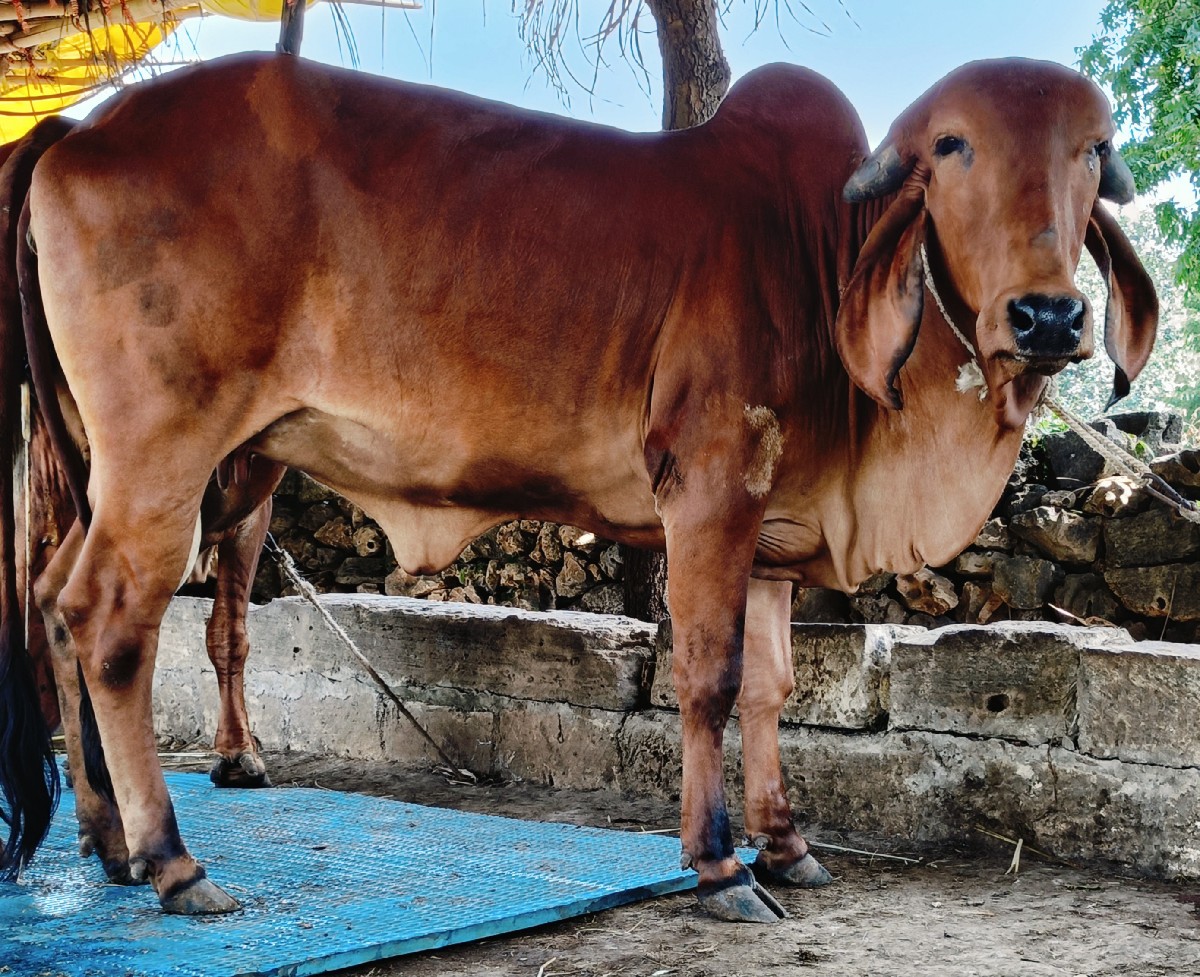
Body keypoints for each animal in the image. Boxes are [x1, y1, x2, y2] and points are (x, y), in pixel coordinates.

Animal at [0, 52, 1157, 922]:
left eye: (1092, 149)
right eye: (953, 146)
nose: (1048, 316)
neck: (818, 256)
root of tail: (83, 130)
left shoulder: (773, 528)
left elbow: (775, 685)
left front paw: (787, 843)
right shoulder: (710, 489)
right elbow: (710, 678)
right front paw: (720, 864)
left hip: (107, 473)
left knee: (51, 603)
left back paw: (106, 840)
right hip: (167, 459)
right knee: (109, 621)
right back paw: (170, 858)